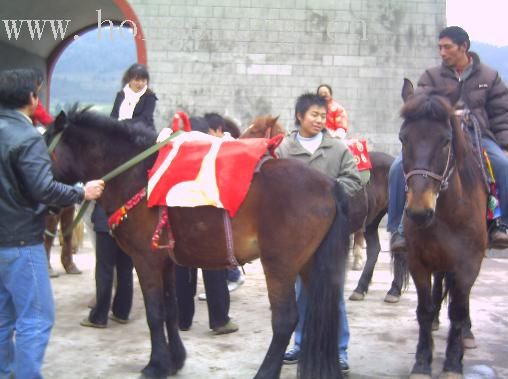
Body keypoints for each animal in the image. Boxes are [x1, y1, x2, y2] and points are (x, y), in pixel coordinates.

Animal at [46, 108, 350, 378]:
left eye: (43, 150)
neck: (138, 176)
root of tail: (328, 185)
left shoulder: (145, 259)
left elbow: (154, 313)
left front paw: (156, 365)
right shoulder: (165, 261)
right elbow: (170, 310)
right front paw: (175, 360)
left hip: (280, 265)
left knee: (285, 320)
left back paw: (265, 372)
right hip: (310, 265)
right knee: (321, 315)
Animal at [398, 78, 486, 378]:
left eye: (446, 141)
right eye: (403, 138)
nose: (418, 212)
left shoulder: (468, 263)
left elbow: (458, 311)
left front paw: (452, 363)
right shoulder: (418, 261)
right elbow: (424, 309)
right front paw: (422, 362)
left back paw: (467, 334)